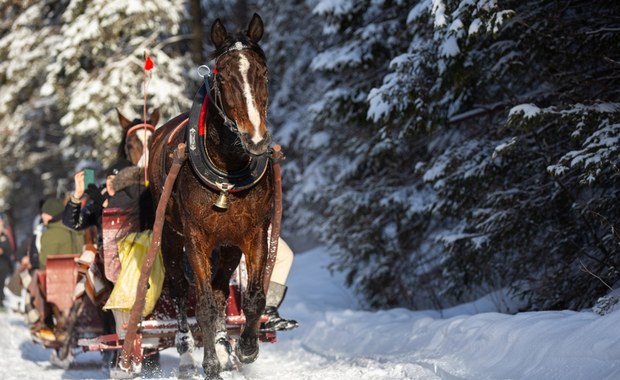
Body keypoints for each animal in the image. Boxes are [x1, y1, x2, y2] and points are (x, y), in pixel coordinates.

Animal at [148, 13, 274, 378]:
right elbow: (201, 303)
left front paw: (245, 348)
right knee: (179, 290)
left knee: (220, 291)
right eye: (223, 76)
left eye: (262, 72)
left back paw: (222, 343)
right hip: (170, 239)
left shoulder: (253, 234)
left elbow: (253, 298)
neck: (228, 169)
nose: (256, 139)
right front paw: (209, 364)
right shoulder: (196, 238)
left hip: (229, 246)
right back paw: (187, 354)